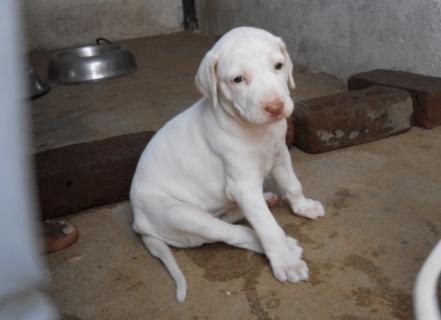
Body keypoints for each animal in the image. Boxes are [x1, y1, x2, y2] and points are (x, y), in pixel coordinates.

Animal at [129, 26, 324, 302]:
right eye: (238, 79)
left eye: (278, 66)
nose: (275, 107)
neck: (255, 130)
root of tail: (138, 222)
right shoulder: (242, 185)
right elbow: (266, 226)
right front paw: (286, 263)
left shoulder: (280, 154)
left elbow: (292, 184)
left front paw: (303, 206)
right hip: (184, 216)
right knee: (237, 233)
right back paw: (286, 245)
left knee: (230, 217)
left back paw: (265, 200)